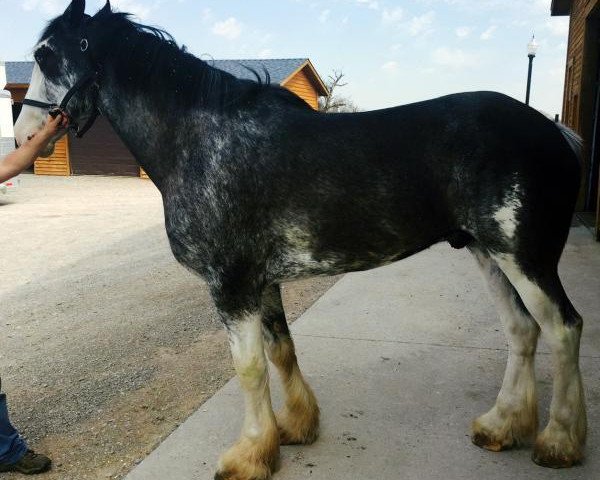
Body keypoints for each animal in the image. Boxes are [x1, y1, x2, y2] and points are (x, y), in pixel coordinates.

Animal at [15, 1, 584, 478]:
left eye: (45, 54)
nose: (23, 137)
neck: (200, 141)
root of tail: (556, 133)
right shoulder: (262, 283)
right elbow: (281, 351)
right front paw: (294, 429)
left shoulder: (231, 285)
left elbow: (248, 368)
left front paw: (248, 456)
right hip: (490, 254)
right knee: (522, 331)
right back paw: (500, 427)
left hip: (525, 259)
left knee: (563, 329)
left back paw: (559, 442)